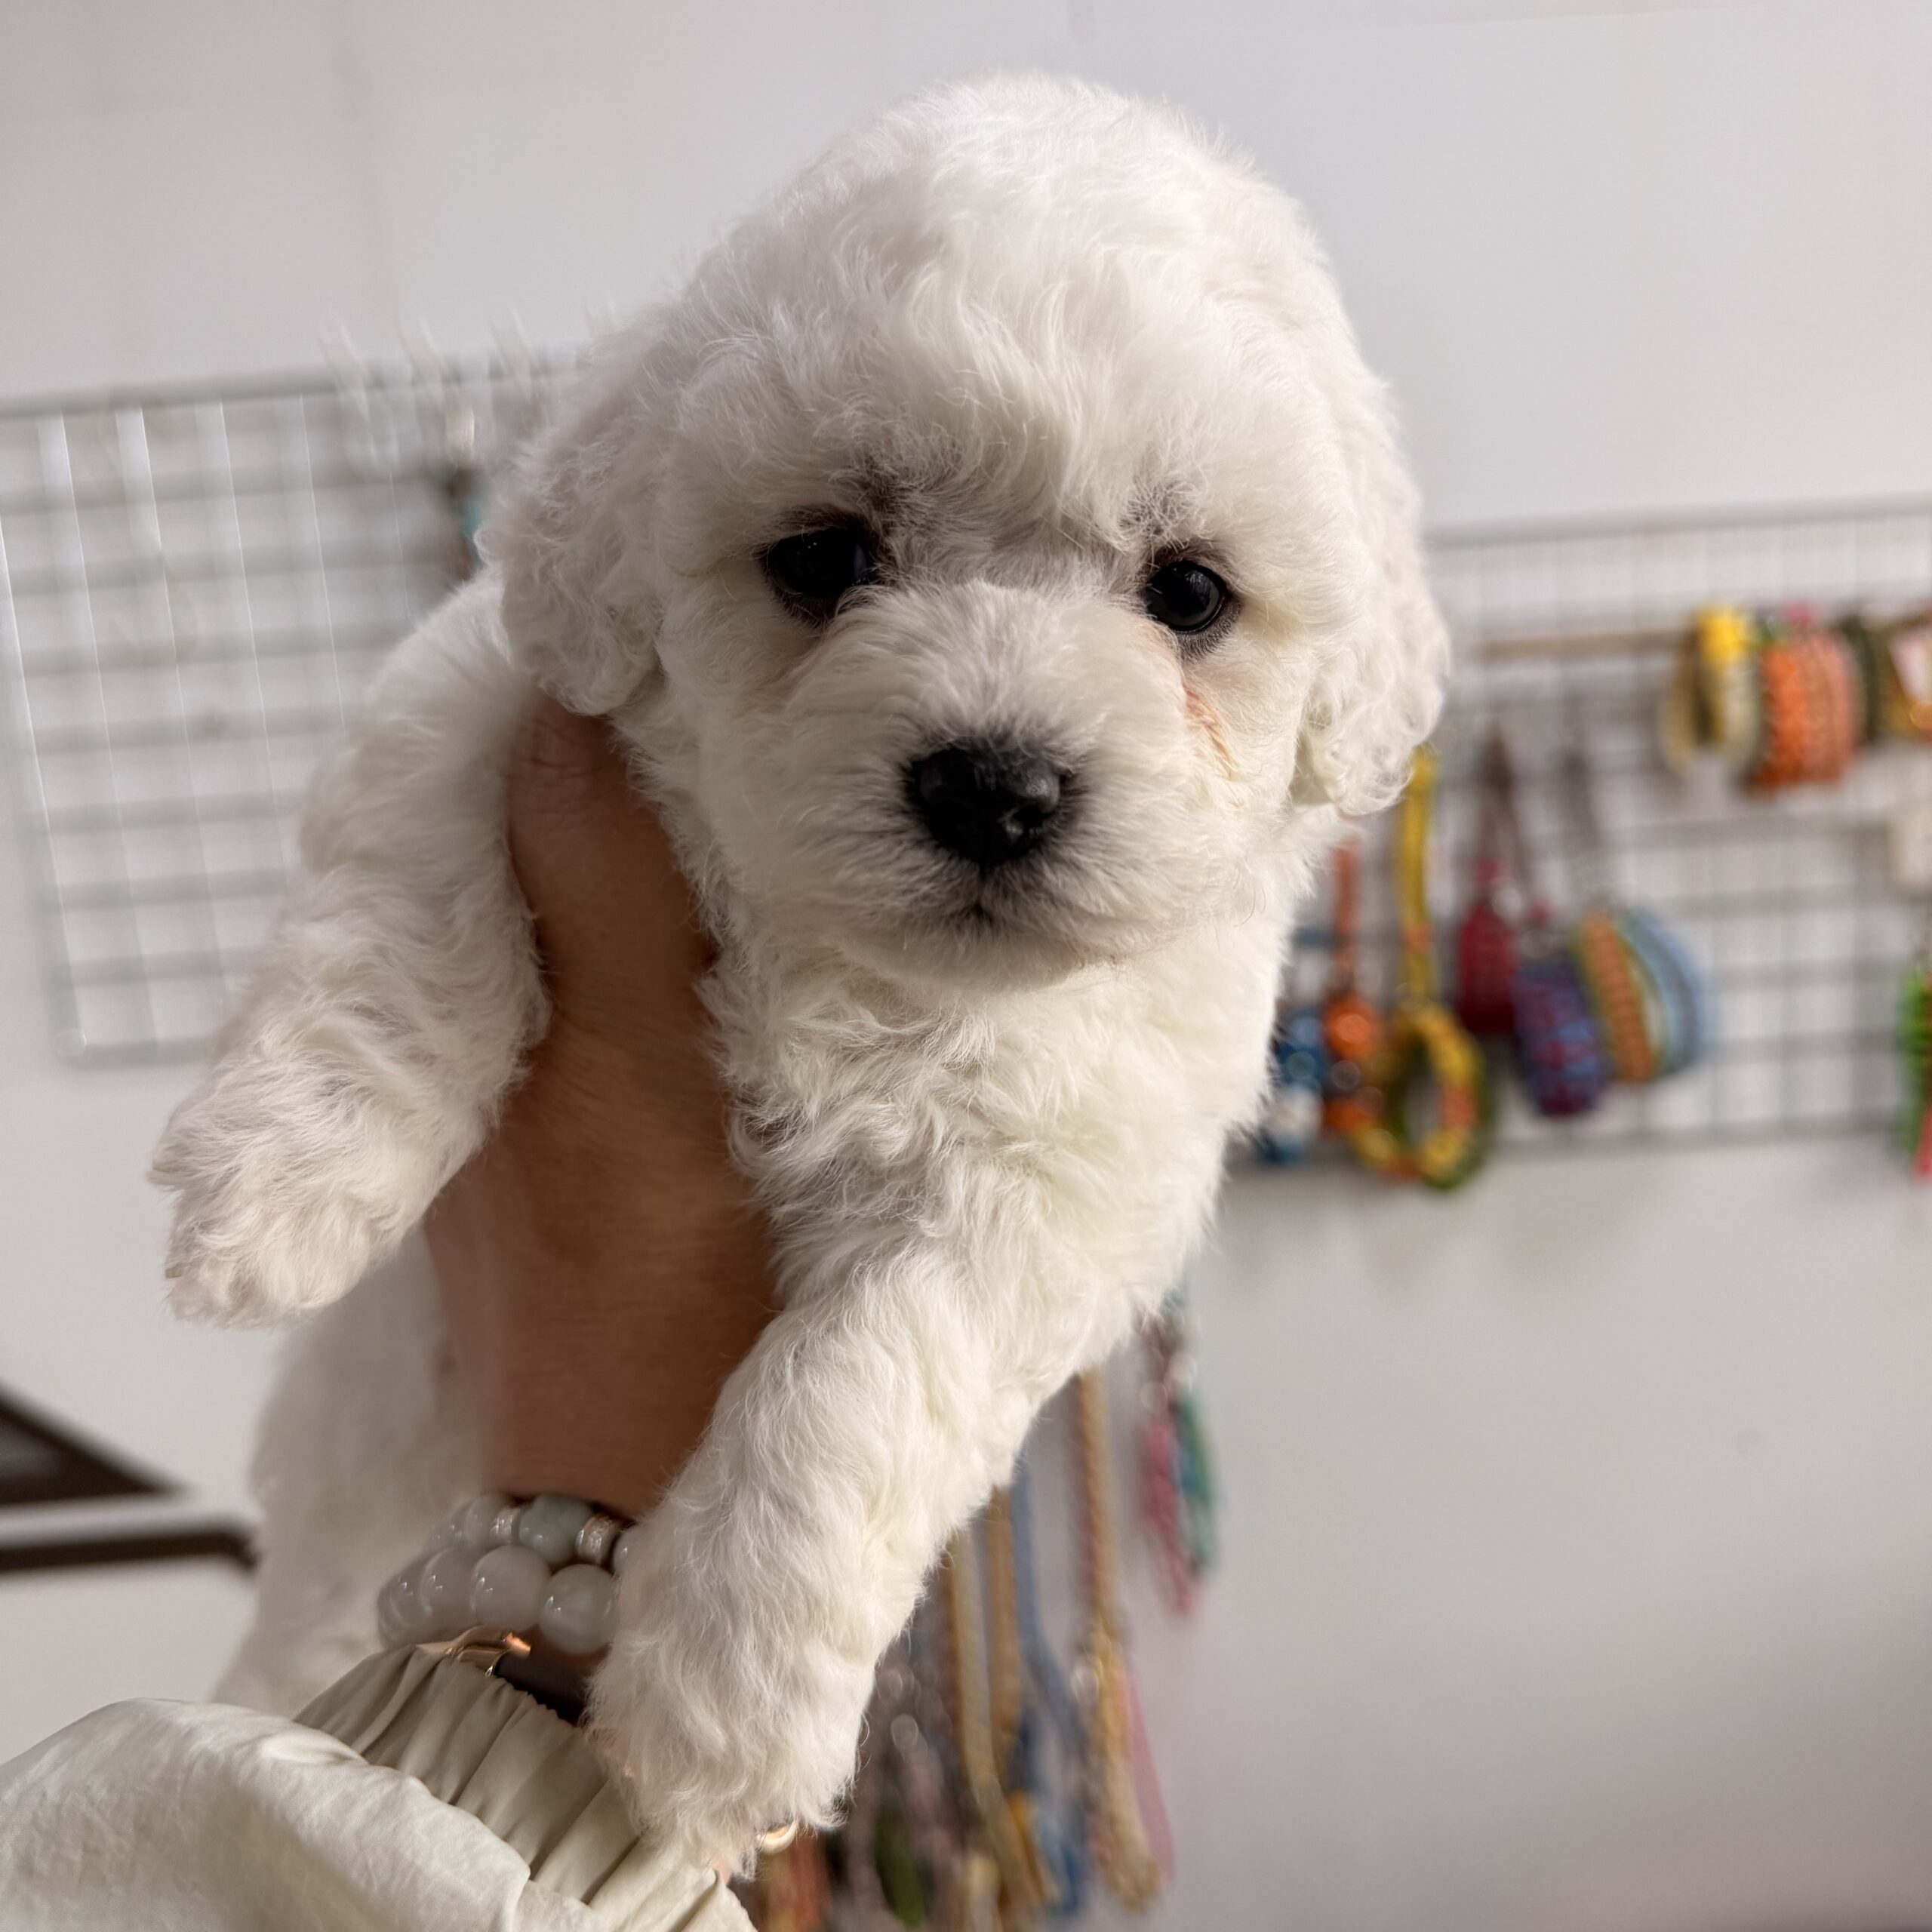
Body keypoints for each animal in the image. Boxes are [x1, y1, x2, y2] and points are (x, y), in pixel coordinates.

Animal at [152, 73, 1445, 1865]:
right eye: (822, 559)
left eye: (1189, 592)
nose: (994, 784)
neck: (846, 954)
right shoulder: (489, 684)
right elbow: (408, 893)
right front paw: (289, 1171)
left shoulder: (1079, 1161)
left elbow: (869, 1366)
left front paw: (725, 1703)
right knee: (310, 1602)